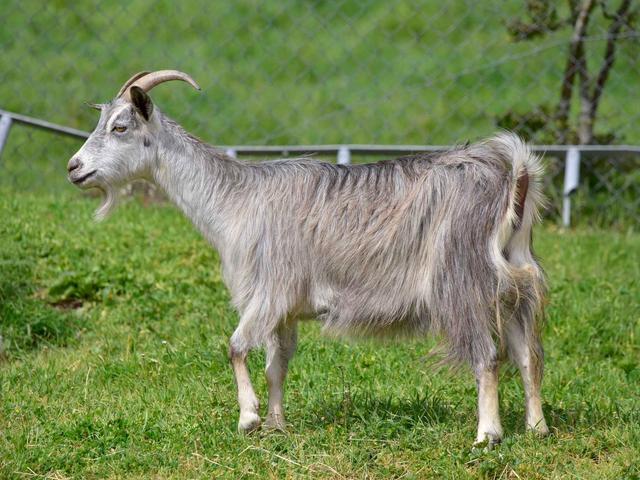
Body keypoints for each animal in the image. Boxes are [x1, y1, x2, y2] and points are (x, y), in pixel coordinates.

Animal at [68, 70, 549, 445]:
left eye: (120, 127)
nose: (73, 167)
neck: (235, 199)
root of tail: (513, 172)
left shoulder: (269, 291)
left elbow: (236, 346)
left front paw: (249, 418)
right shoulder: (285, 309)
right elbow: (276, 365)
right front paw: (277, 425)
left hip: (462, 280)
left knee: (488, 355)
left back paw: (488, 434)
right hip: (515, 283)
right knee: (527, 355)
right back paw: (537, 427)